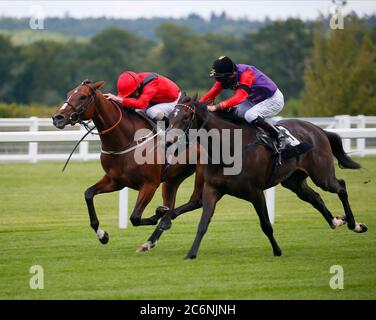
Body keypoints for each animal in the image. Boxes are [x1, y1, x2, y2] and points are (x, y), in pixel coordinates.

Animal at [51, 80, 203, 248]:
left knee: (196, 201)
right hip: (173, 178)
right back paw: (152, 239)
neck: (126, 139)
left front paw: (158, 213)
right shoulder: (115, 181)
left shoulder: (149, 184)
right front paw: (102, 235)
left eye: (83, 96)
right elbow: (88, 194)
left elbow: (135, 217)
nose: (57, 118)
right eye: (69, 93)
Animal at [159, 95, 368, 260]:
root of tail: (318, 129)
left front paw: (277, 251)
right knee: (315, 198)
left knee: (340, 186)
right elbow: (203, 223)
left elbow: (266, 224)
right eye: (170, 117)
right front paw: (191, 253)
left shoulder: (255, 192)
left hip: (322, 175)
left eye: (186, 117)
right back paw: (336, 221)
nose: (168, 141)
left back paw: (355, 224)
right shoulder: (212, 189)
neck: (228, 147)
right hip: (294, 181)